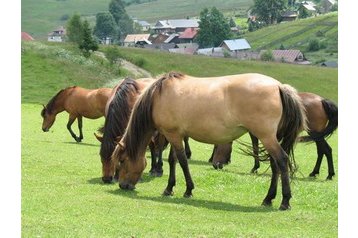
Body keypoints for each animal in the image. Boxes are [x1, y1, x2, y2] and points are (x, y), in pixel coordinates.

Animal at [111, 71, 304, 209]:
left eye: (122, 161)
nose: (123, 185)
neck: (158, 96)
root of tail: (278, 86)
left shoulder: (172, 134)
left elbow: (182, 161)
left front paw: (188, 189)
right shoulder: (175, 134)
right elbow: (173, 160)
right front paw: (169, 188)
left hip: (266, 137)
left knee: (282, 160)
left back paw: (285, 201)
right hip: (270, 138)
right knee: (275, 165)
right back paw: (268, 199)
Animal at [210, 92, 338, 179]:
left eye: (218, 145)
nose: (215, 165)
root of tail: (322, 100)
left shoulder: (256, 133)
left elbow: (255, 148)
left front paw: (255, 167)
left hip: (315, 133)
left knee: (326, 150)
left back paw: (329, 174)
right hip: (317, 135)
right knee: (322, 151)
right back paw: (315, 172)